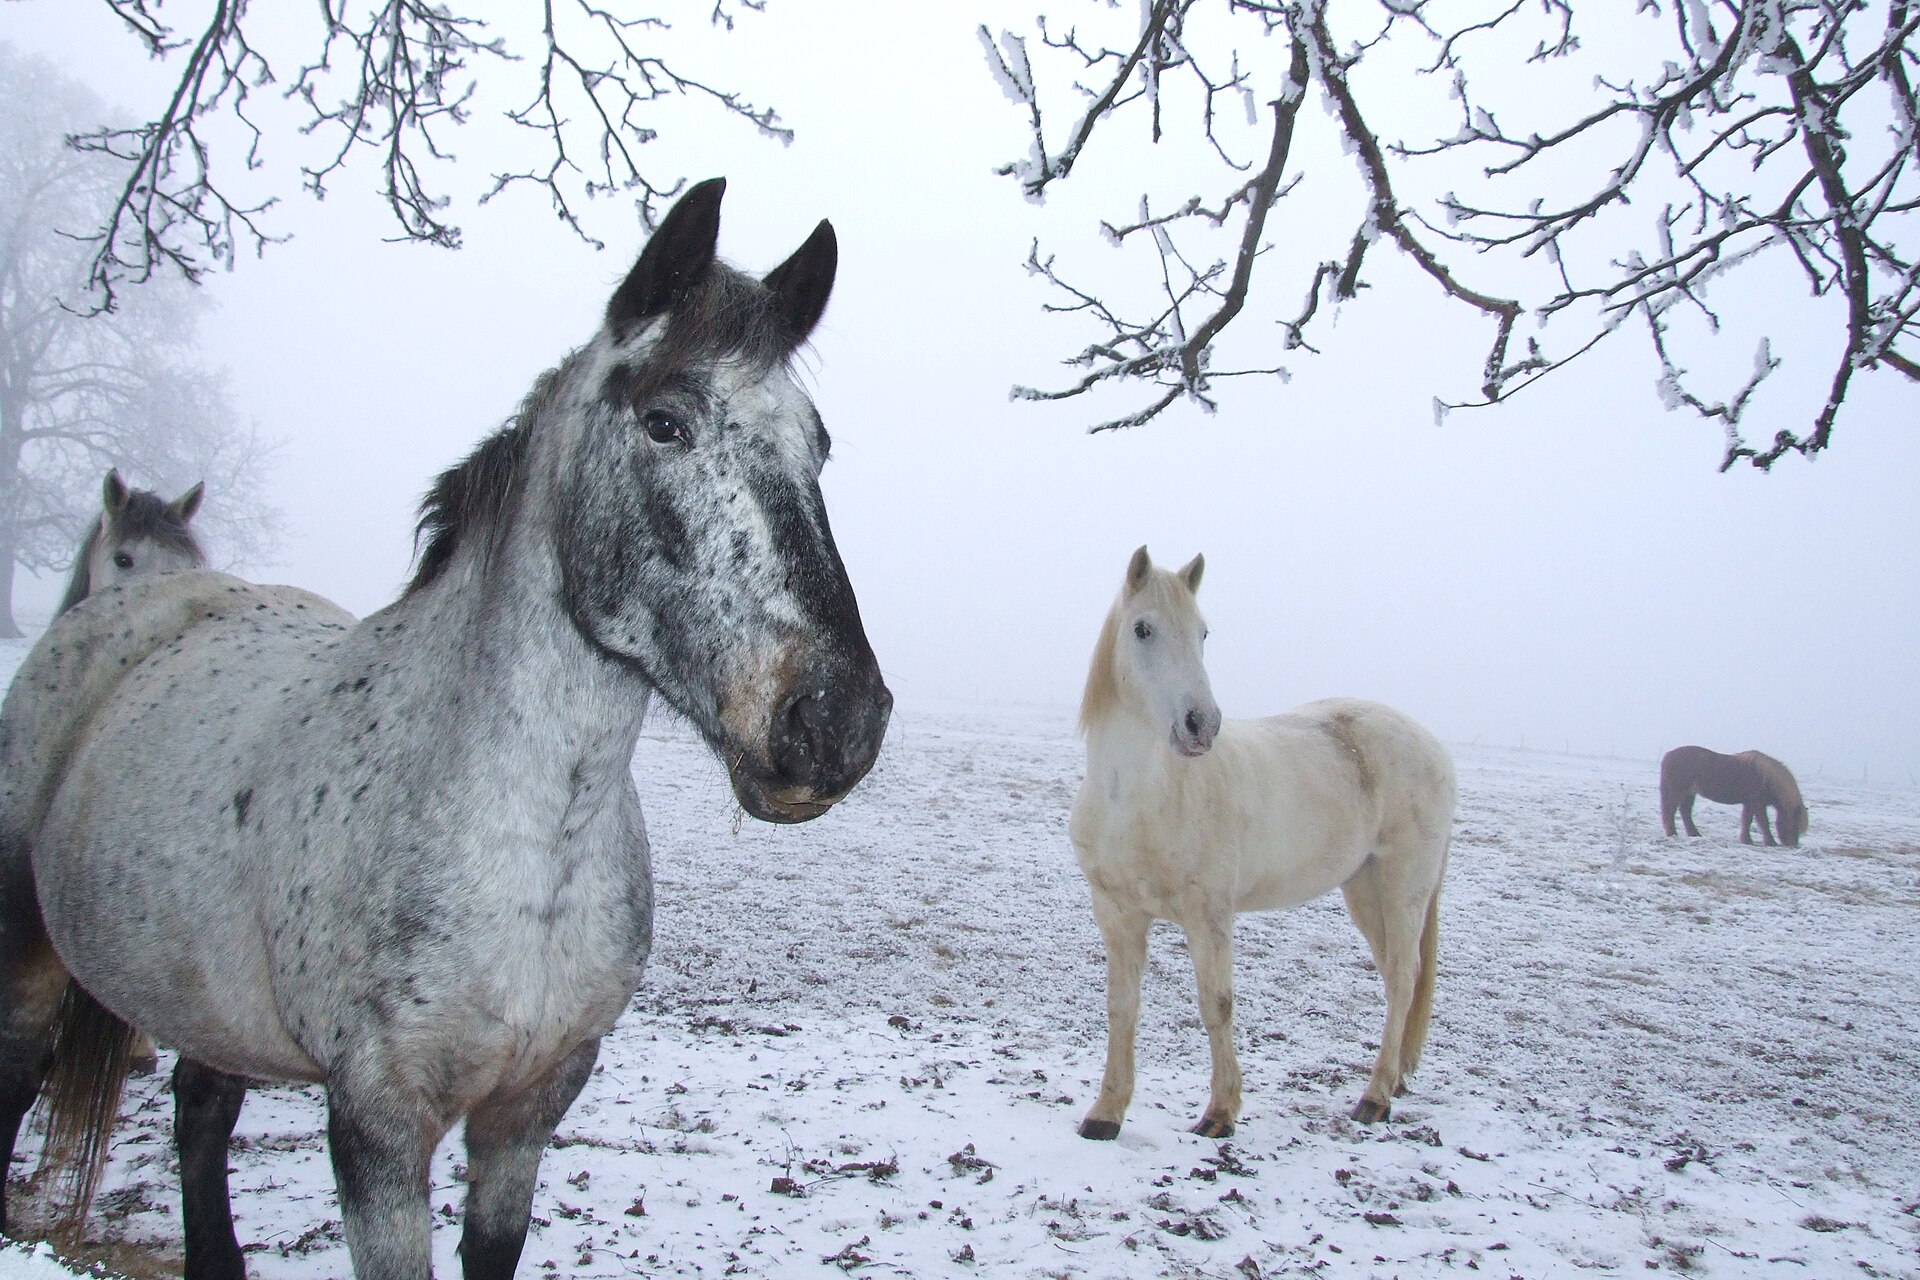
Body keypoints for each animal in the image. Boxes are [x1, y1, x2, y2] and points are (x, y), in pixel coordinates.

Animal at [1069, 547, 1455, 1140]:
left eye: (1203, 632)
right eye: (1142, 629)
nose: (1201, 724)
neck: (1134, 798)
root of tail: (1433, 746)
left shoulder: (1208, 914)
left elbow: (1216, 1004)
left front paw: (1221, 1111)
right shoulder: (1117, 912)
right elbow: (1121, 1006)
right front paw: (1106, 1113)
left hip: (1402, 889)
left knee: (1402, 978)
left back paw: (1373, 1098)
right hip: (1364, 890)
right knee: (1397, 975)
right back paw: (1392, 1084)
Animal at [1660, 745, 1808, 847]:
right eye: (1794, 823)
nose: (1792, 844)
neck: (1766, 779)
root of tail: (1668, 755)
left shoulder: (1749, 804)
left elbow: (1747, 820)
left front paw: (1747, 840)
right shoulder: (1757, 804)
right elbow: (1763, 822)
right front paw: (1770, 842)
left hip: (1689, 793)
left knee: (1685, 812)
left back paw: (1694, 834)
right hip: (1678, 792)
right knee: (1670, 811)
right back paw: (1673, 833)